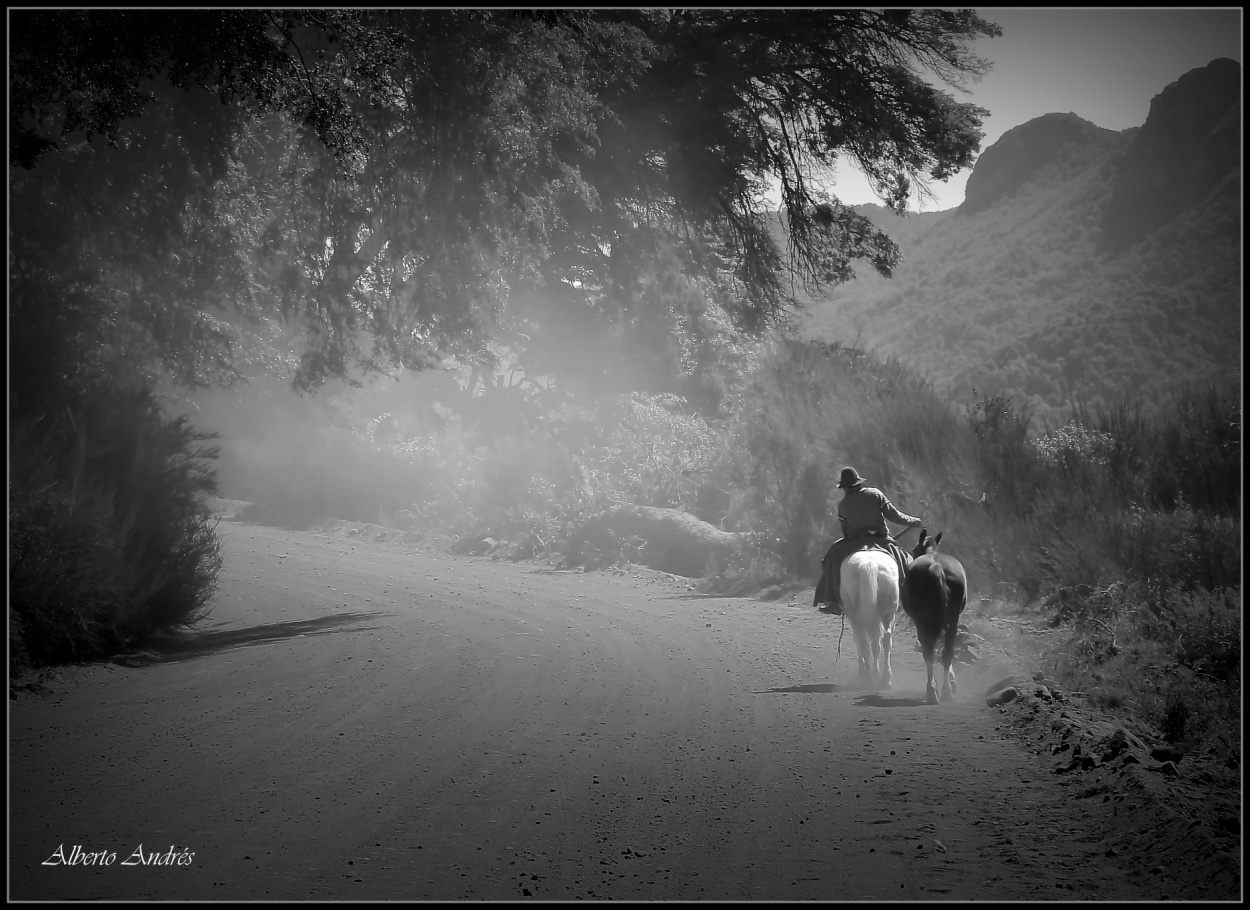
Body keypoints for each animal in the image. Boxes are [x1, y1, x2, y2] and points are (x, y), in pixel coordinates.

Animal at [840, 547, 900, 690]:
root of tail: (869, 564)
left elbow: (857, 639)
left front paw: (862, 670)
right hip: (888, 612)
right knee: (883, 640)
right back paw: (883, 678)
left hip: (855, 613)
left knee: (864, 640)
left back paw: (869, 676)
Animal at [900, 530, 965, 705]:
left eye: (914, 548)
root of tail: (936, 567)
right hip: (952, 618)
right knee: (947, 652)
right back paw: (947, 691)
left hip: (923, 620)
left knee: (929, 651)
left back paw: (932, 691)